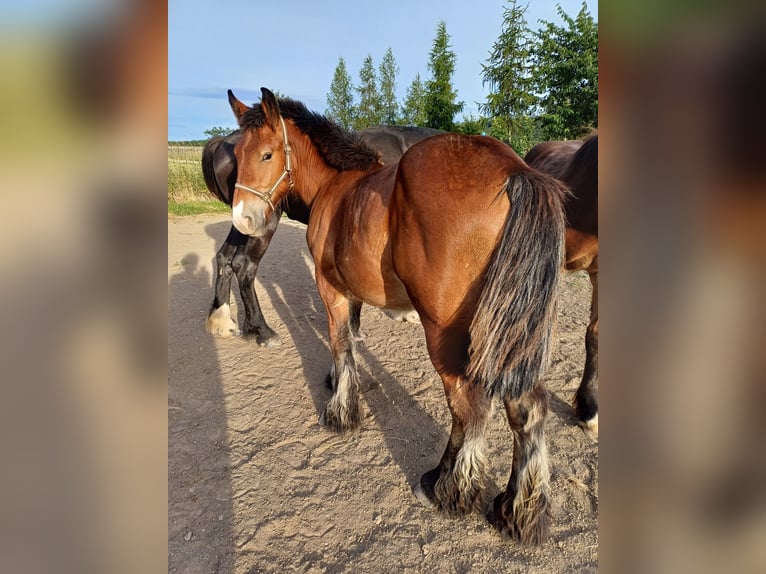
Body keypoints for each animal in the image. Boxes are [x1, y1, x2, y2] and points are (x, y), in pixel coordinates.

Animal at [201, 125, 448, 344]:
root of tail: (224, 141)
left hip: (243, 221)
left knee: (225, 257)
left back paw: (222, 321)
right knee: (244, 265)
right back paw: (262, 331)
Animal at [228, 88, 568, 548]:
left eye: (266, 154)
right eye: (236, 154)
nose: (242, 219)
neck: (338, 186)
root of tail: (514, 171)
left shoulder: (330, 288)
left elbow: (340, 342)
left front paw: (340, 412)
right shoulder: (351, 291)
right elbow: (350, 339)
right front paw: (340, 383)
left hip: (447, 334)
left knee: (467, 407)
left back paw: (447, 489)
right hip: (513, 334)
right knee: (526, 408)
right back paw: (517, 511)